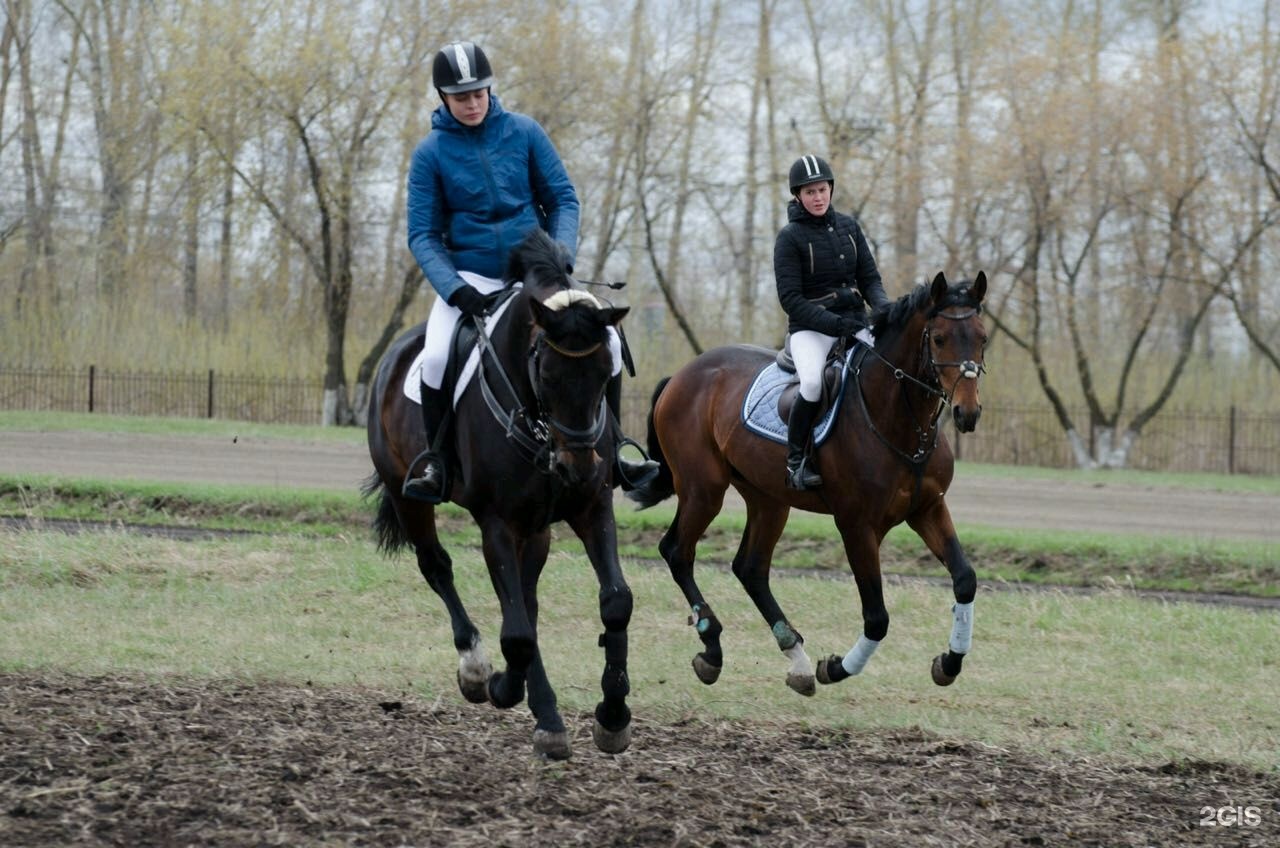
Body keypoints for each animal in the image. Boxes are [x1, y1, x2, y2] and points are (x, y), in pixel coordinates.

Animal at [366, 229, 634, 758]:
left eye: (604, 373)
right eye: (547, 374)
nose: (577, 467)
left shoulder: (592, 507)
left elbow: (615, 602)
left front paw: (612, 714)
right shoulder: (497, 523)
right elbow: (518, 635)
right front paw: (510, 690)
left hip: (537, 528)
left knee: (526, 600)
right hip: (410, 499)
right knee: (438, 568)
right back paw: (478, 668)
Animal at [629, 272, 988, 696]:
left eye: (982, 338)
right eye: (940, 339)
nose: (967, 413)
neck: (901, 422)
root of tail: (682, 375)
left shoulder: (928, 509)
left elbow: (965, 579)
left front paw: (949, 663)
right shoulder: (856, 526)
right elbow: (877, 616)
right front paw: (835, 667)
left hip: (768, 499)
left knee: (751, 568)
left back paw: (795, 657)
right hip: (704, 491)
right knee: (677, 552)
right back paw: (712, 650)